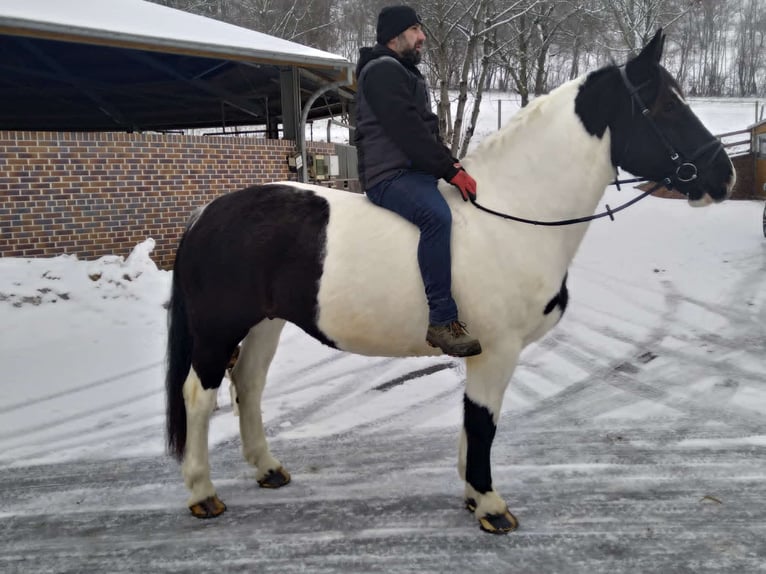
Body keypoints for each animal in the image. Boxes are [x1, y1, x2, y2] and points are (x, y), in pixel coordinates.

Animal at [165, 30, 735, 534]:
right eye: (665, 108)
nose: (724, 175)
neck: (514, 213)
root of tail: (208, 212)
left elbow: (473, 423)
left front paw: (470, 494)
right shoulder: (498, 351)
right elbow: (483, 423)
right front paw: (490, 505)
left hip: (266, 323)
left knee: (248, 385)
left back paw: (266, 468)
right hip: (218, 329)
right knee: (198, 394)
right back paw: (202, 493)